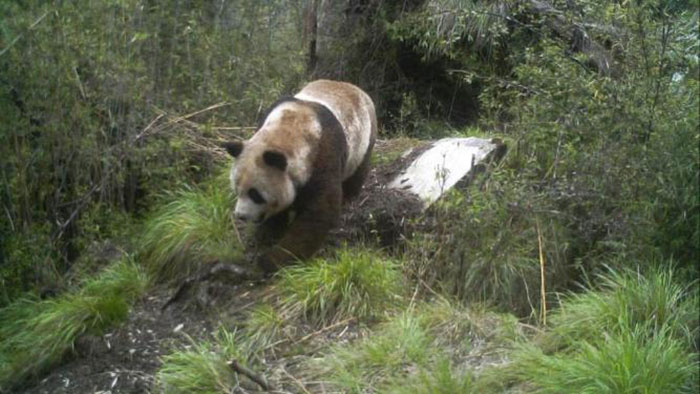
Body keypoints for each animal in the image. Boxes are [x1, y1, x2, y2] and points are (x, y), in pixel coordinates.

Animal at [224, 78, 378, 272]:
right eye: (237, 190)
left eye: (255, 194)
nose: (241, 216)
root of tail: (352, 86)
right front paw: (267, 236)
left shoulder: (323, 158)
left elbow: (317, 215)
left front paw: (270, 260)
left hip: (365, 137)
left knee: (358, 171)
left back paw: (349, 196)